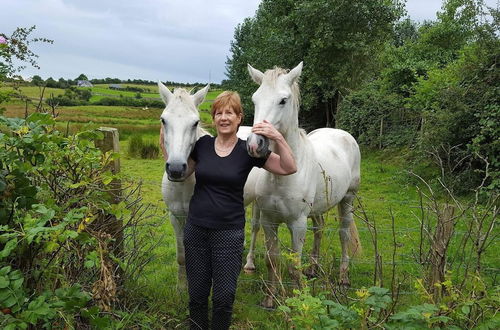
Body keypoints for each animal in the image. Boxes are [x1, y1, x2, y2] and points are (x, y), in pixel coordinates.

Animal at [244, 63, 362, 308]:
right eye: (255, 99)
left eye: (283, 100)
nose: (255, 145)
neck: (283, 174)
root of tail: (342, 133)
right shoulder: (269, 221)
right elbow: (272, 260)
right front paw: (270, 299)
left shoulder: (297, 224)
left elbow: (294, 266)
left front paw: (300, 302)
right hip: (317, 210)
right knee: (319, 229)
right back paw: (314, 269)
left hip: (347, 199)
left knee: (344, 234)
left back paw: (343, 277)